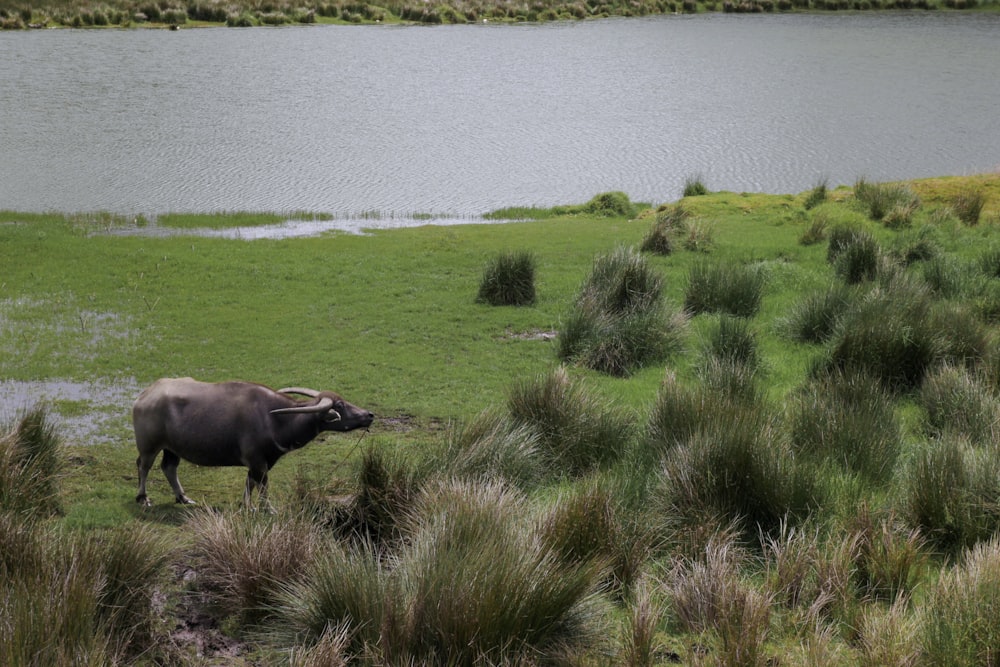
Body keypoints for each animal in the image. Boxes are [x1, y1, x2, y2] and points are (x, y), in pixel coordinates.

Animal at [129, 378, 372, 508]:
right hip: (149, 445)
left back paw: (183, 497)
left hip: (173, 448)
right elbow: (263, 485)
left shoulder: (263, 461)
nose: (369, 415)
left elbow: (250, 483)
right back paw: (143, 498)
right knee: (143, 465)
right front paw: (267, 509)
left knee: (169, 467)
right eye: (339, 405)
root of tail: (144, 395)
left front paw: (247, 506)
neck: (274, 419)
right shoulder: (257, 460)